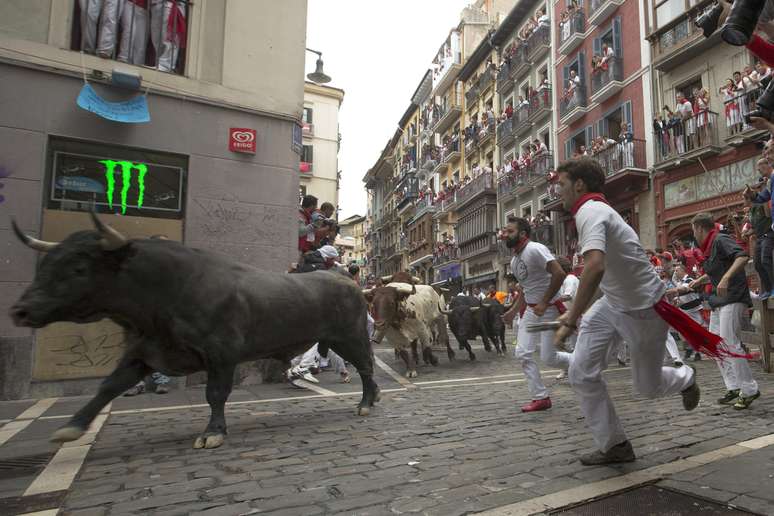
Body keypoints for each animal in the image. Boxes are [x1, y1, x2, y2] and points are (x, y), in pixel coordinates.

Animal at [7, 213, 380, 448]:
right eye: (47, 263)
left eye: (79, 267)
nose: (19, 310)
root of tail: (345, 281)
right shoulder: (143, 352)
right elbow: (108, 386)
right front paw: (72, 427)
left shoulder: (221, 354)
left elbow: (215, 394)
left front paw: (213, 433)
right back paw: (371, 398)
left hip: (348, 337)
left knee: (365, 366)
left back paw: (365, 403)